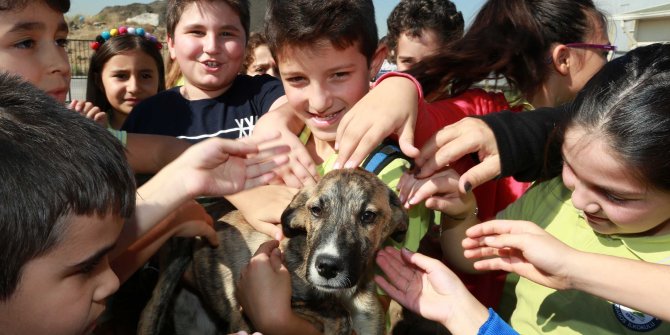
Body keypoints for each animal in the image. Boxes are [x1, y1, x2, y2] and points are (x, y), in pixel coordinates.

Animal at [140, 169, 410, 335]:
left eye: (368, 216)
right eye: (315, 210)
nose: (327, 267)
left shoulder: (369, 321)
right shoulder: (248, 311)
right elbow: (333, 313)